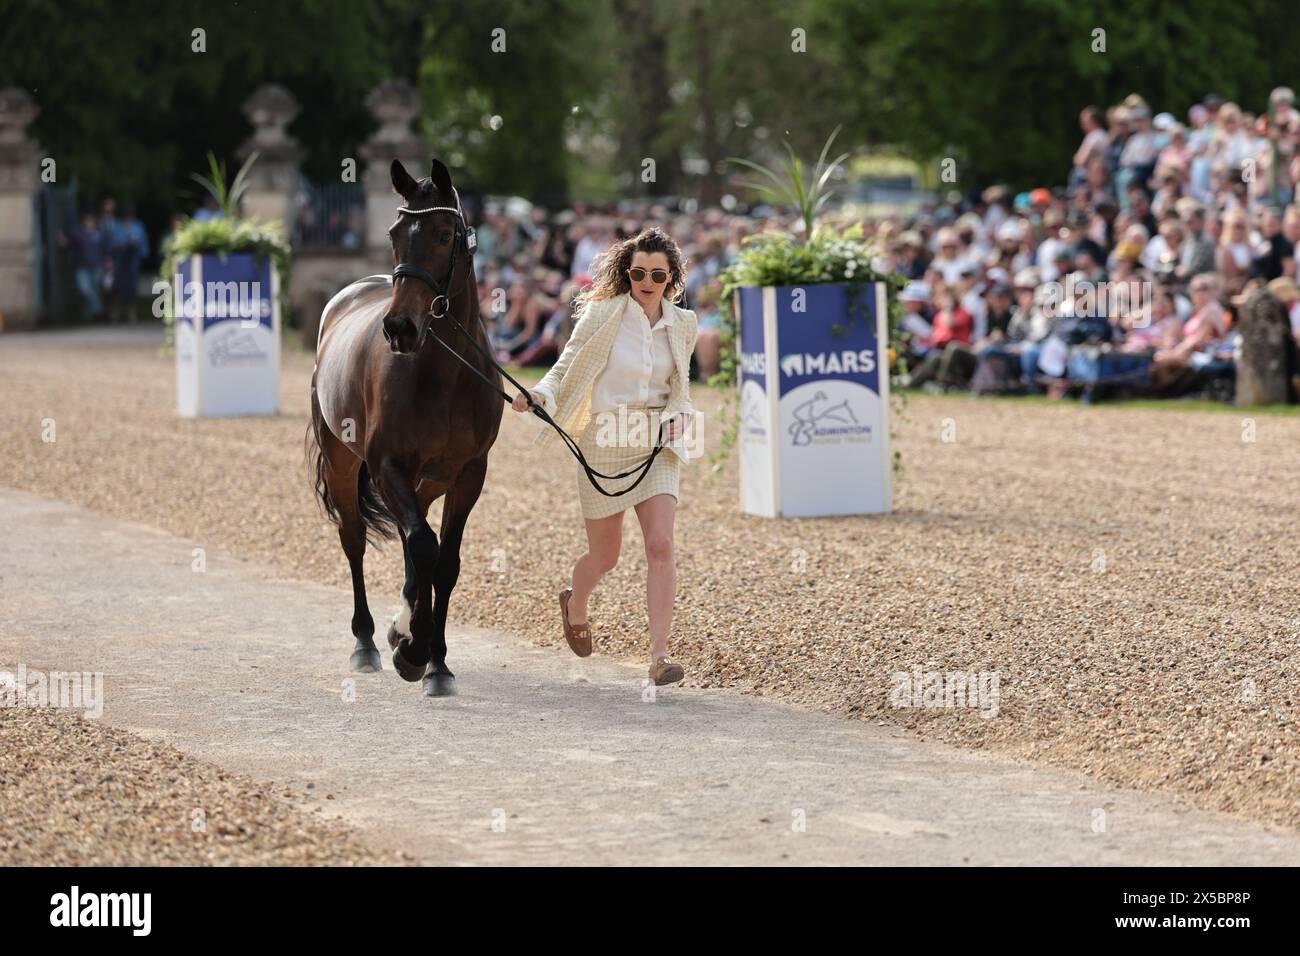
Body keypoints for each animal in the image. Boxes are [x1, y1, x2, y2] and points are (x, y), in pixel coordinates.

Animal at [309, 157, 501, 697]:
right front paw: (415, 651)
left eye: (444, 234)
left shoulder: (468, 474)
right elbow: (423, 547)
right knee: (356, 538)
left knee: (415, 547)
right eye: (395, 233)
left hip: (427, 481)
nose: (399, 327)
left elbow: (444, 562)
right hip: (343, 464)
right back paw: (368, 643)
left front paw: (435, 662)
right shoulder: (387, 465)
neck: (445, 372)